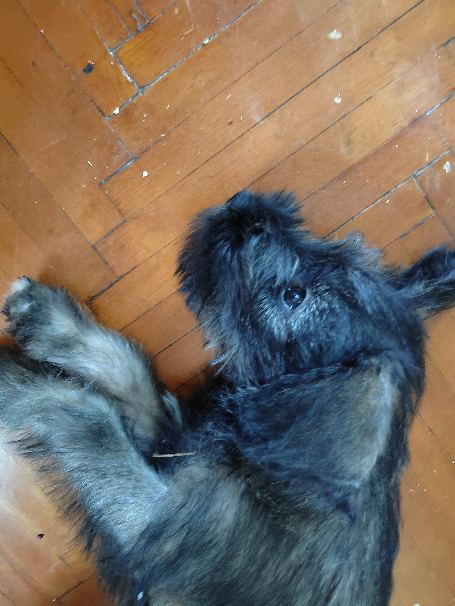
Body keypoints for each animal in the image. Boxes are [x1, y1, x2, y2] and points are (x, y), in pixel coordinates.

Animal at [0, 191, 454, 605]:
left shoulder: (155, 517)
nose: (247, 206)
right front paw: (46, 316)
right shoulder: (177, 441)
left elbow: (89, 417)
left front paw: (12, 382)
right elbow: (128, 370)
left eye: (294, 296)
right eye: (326, 247)